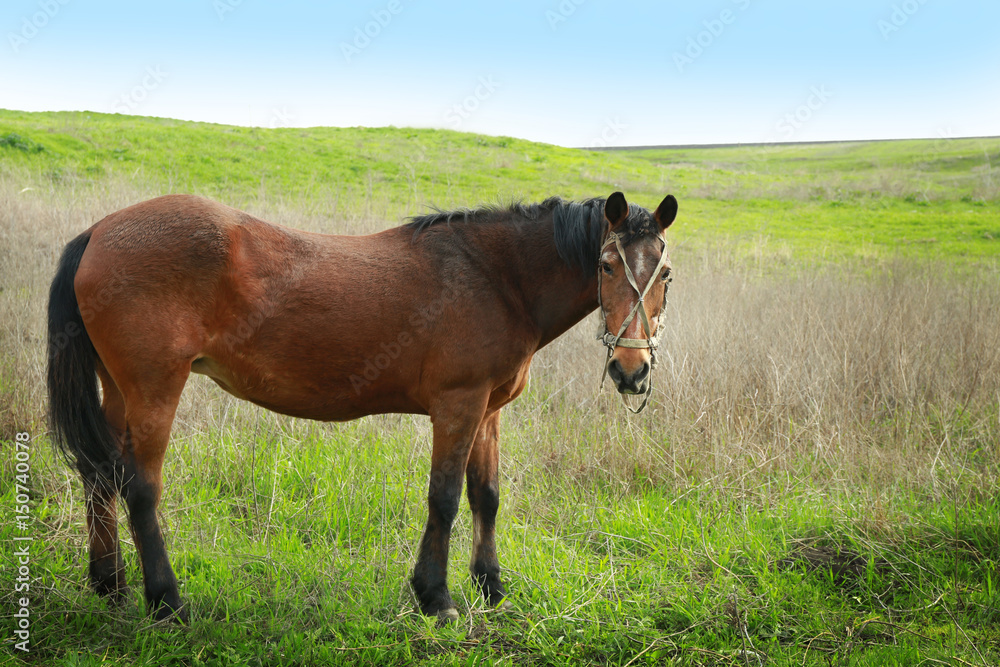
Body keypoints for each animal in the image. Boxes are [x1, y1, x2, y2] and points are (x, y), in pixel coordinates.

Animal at [46, 190, 676, 622]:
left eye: (665, 272)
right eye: (606, 265)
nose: (632, 370)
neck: (496, 277)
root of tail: (99, 231)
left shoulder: (489, 411)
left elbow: (486, 497)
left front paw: (490, 586)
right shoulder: (458, 406)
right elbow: (445, 499)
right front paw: (436, 597)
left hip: (118, 391)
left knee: (99, 476)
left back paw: (109, 582)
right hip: (154, 390)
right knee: (139, 489)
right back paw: (166, 601)